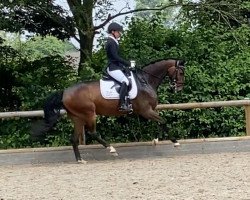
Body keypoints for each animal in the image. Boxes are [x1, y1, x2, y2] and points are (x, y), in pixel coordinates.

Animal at [31, 57, 186, 162]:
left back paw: (80, 160)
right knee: (92, 133)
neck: (145, 81)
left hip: (77, 117)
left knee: (74, 138)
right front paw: (175, 142)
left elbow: (160, 123)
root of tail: (65, 92)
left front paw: (156, 140)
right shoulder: (146, 111)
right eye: (181, 73)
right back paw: (111, 149)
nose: (178, 89)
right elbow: (163, 121)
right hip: (89, 114)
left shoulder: (150, 111)